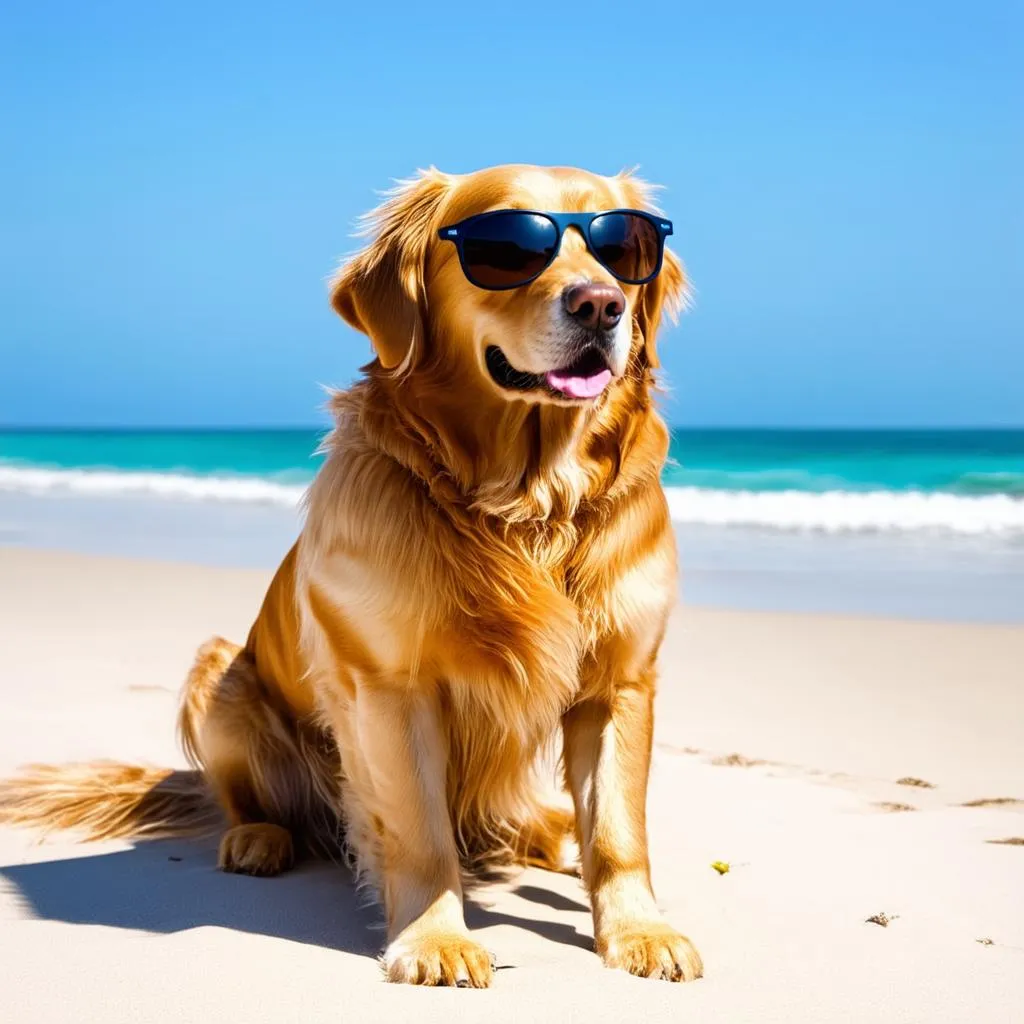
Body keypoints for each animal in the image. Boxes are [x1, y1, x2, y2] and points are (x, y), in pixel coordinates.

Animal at [0, 163, 704, 987]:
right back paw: (259, 839)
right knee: (252, 802)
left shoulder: (621, 682)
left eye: (625, 248)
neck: (526, 506)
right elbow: (421, 835)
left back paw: (548, 836)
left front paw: (640, 931)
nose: (601, 303)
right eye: (506, 245)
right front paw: (436, 939)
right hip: (222, 678)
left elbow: (620, 830)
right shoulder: (390, 687)